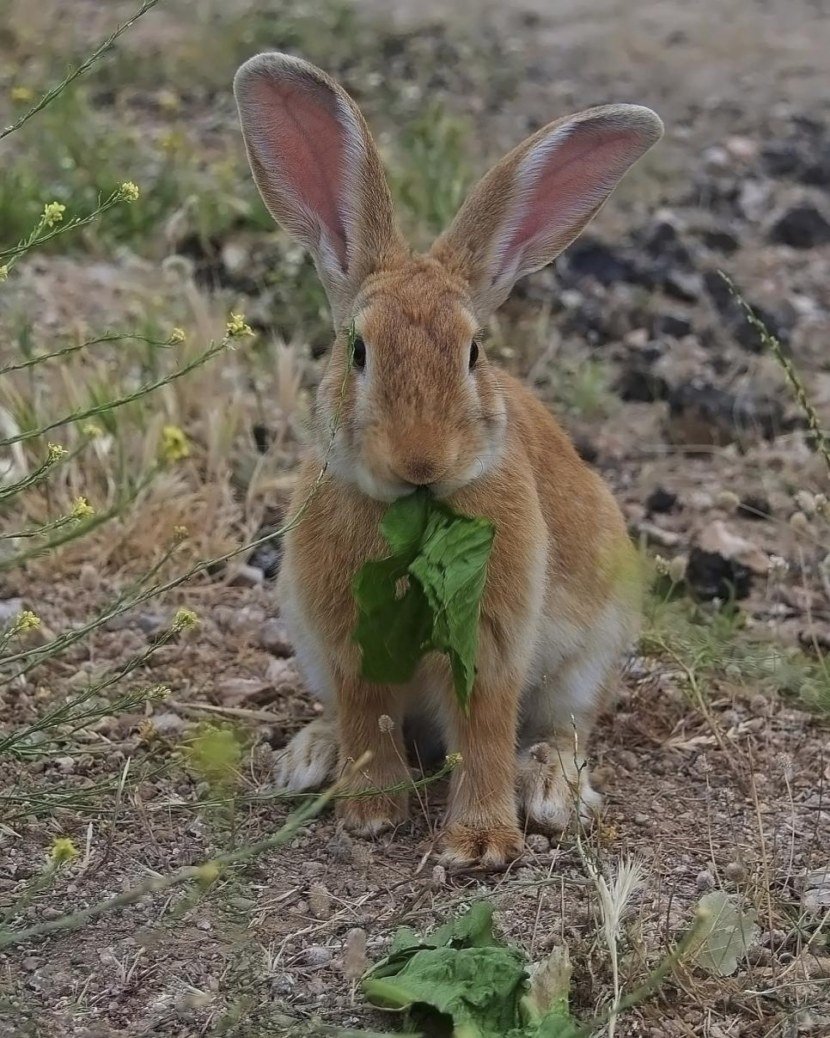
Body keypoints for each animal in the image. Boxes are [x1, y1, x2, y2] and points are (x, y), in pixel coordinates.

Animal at [233, 52, 659, 863]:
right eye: (358, 351)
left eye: (474, 353)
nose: (421, 460)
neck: (419, 519)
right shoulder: (345, 639)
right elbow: (368, 711)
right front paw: (371, 813)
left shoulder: (493, 636)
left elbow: (486, 724)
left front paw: (482, 842)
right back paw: (311, 756)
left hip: (589, 658)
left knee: (567, 727)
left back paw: (551, 791)